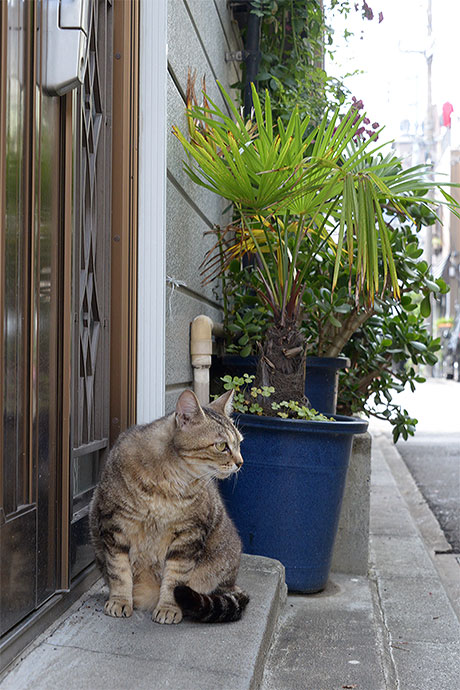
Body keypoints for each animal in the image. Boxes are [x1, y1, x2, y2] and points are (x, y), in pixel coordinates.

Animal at [89, 390, 248, 620]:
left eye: (239, 443)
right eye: (221, 446)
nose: (240, 462)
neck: (168, 481)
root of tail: (233, 583)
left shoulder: (189, 535)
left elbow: (175, 579)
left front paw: (168, 608)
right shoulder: (114, 525)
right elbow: (119, 571)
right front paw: (120, 601)